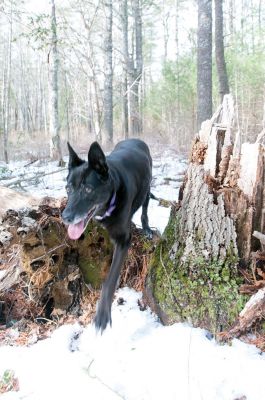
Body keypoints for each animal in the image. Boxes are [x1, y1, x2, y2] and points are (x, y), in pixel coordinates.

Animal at [61, 139, 152, 332]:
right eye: (68, 188)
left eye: (88, 189)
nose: (65, 217)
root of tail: (135, 139)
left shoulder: (124, 240)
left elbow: (110, 278)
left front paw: (102, 314)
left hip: (147, 188)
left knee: (145, 207)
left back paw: (147, 227)